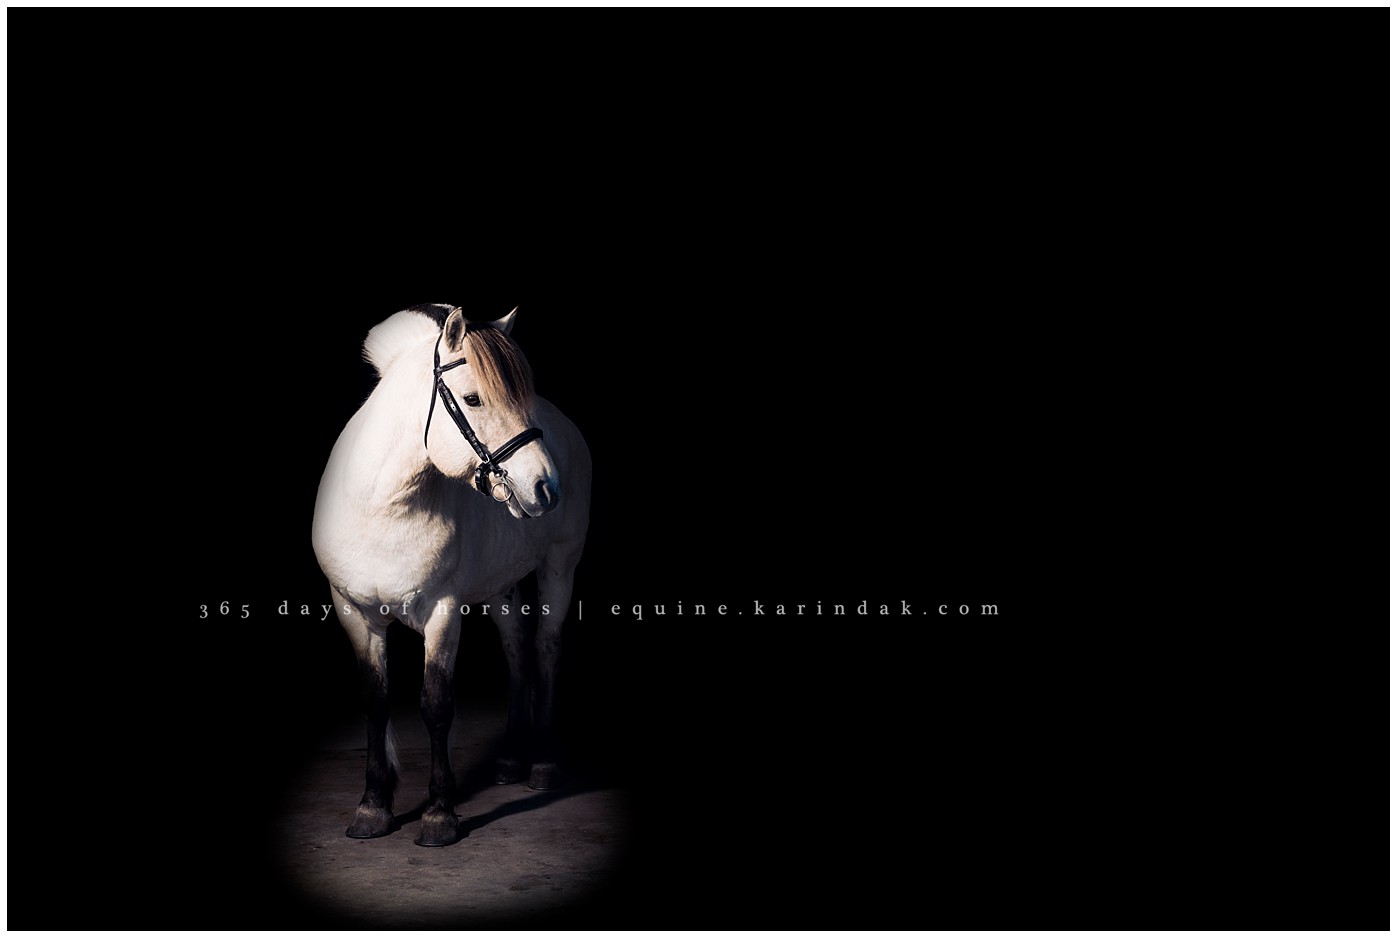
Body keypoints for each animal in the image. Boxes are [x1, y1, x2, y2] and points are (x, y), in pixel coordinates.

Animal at [311, 303, 591, 847]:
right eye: (473, 398)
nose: (545, 487)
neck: (383, 508)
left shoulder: (442, 612)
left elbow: (437, 705)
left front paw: (440, 815)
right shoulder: (353, 612)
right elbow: (376, 701)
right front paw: (373, 808)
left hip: (559, 566)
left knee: (545, 649)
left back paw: (543, 764)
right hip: (501, 584)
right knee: (517, 648)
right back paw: (509, 760)